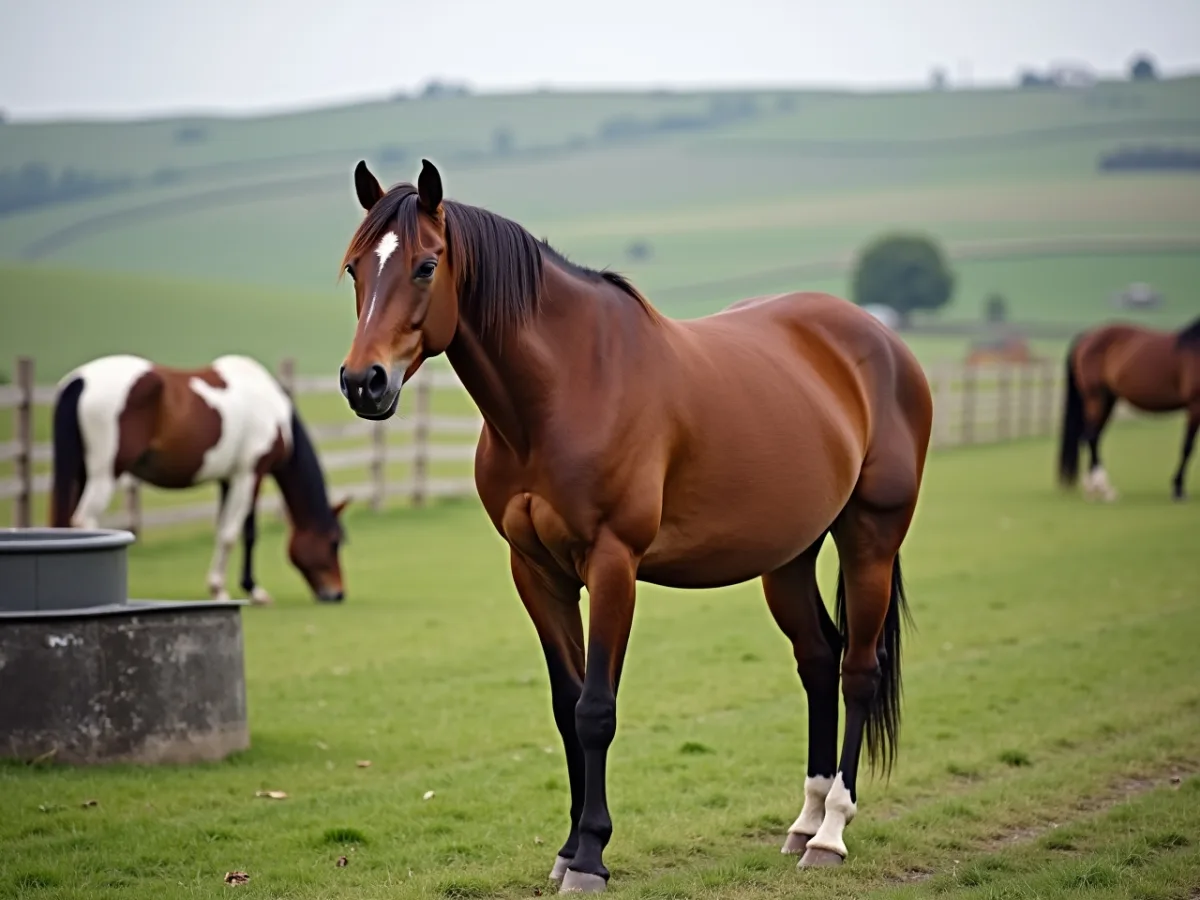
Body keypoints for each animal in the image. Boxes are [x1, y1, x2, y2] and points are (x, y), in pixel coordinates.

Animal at [49, 354, 349, 605]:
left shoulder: (230, 478)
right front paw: (232, 590)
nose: (337, 594)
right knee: (84, 521)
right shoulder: (250, 474)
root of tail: (79, 381)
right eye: (334, 542)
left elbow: (235, 531)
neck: (272, 409)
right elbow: (235, 534)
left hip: (81, 474)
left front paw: (241, 588)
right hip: (104, 475)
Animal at [336, 159, 933, 893]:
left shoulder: (612, 564)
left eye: (425, 265)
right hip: (788, 557)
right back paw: (803, 822)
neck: (566, 388)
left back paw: (831, 833)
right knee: (818, 660)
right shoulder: (536, 573)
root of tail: (882, 341)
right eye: (355, 268)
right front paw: (567, 850)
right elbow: (566, 708)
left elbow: (596, 710)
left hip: (870, 539)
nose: (363, 382)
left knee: (858, 671)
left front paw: (591, 856)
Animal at [1058, 318, 1200, 502]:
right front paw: (1178, 489)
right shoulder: (1195, 405)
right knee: (1091, 437)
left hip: (1108, 400)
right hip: (1097, 398)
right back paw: (1104, 488)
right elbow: (1187, 447)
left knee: (1093, 437)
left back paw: (1094, 489)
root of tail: (1086, 337)